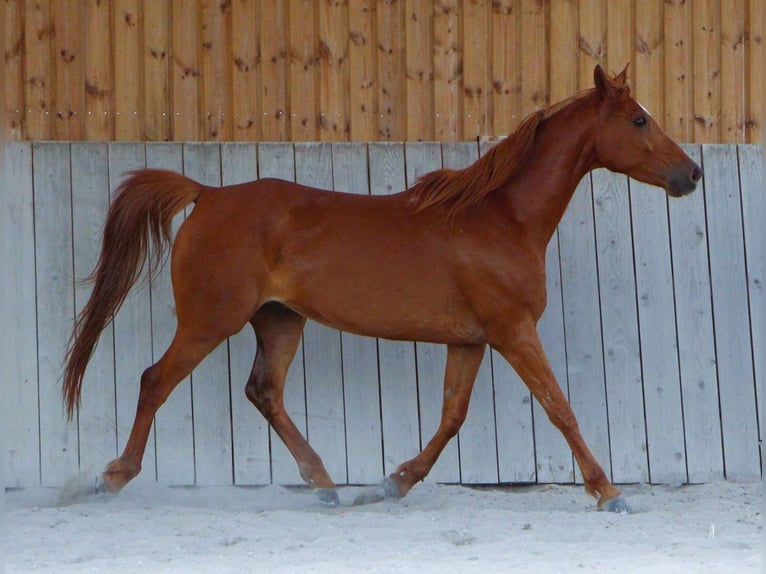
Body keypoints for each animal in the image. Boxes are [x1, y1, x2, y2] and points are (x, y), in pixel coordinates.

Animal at [63, 65, 701, 513]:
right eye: (639, 120)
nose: (690, 175)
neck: (502, 219)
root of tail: (209, 194)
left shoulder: (470, 341)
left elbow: (451, 417)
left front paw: (392, 484)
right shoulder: (513, 331)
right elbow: (559, 408)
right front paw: (610, 492)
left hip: (280, 319)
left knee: (264, 392)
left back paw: (325, 485)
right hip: (208, 321)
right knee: (155, 381)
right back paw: (111, 477)